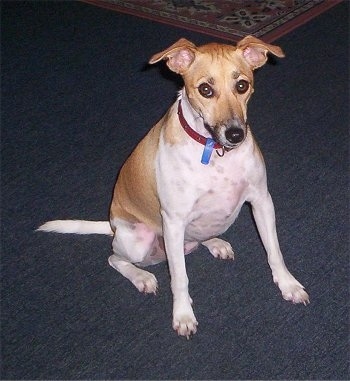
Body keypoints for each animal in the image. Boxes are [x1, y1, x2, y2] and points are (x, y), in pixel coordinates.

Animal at [38, 37, 310, 336]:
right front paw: (183, 315)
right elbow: (180, 278)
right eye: (205, 89)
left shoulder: (262, 201)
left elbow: (274, 251)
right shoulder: (174, 221)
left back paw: (215, 243)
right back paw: (142, 277)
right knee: (115, 259)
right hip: (140, 241)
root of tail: (112, 225)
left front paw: (288, 284)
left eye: (242, 85)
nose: (235, 134)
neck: (214, 150)